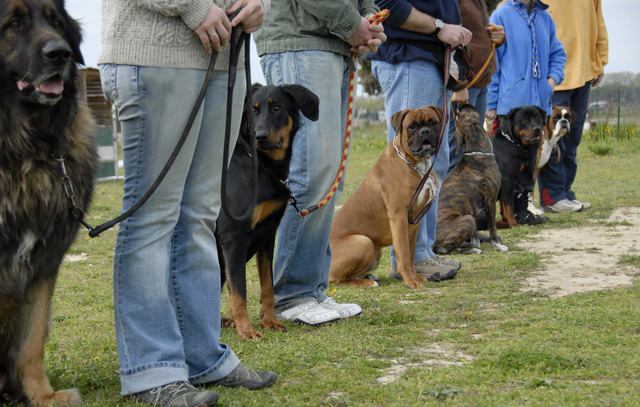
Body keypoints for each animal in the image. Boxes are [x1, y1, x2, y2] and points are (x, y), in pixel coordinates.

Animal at [216, 82, 320, 338]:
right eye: (252, 111)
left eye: (276, 107)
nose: (260, 136)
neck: (261, 165)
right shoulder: (234, 236)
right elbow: (239, 291)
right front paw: (247, 330)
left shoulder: (267, 233)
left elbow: (267, 286)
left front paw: (269, 321)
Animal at [432, 104, 508, 255]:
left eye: (458, 114)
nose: (459, 104)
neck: (476, 153)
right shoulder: (490, 201)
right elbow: (492, 228)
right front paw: (497, 245)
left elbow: (476, 235)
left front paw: (478, 242)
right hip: (467, 219)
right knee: (446, 249)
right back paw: (473, 250)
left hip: (469, 218)